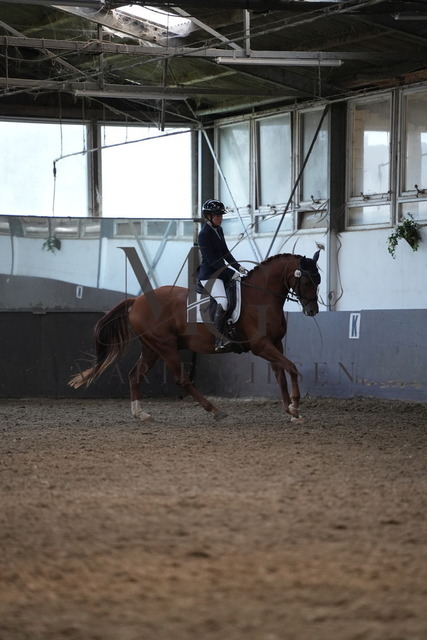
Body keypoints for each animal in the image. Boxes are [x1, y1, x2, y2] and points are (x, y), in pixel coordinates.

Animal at [69, 251, 321, 423]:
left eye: (318, 280)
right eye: (307, 281)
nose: (312, 311)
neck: (261, 297)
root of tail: (137, 300)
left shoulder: (275, 343)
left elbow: (281, 373)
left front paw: (291, 411)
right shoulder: (261, 345)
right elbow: (292, 368)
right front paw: (295, 406)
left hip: (152, 348)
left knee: (134, 375)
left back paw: (141, 413)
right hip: (166, 347)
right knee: (181, 379)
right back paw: (215, 411)